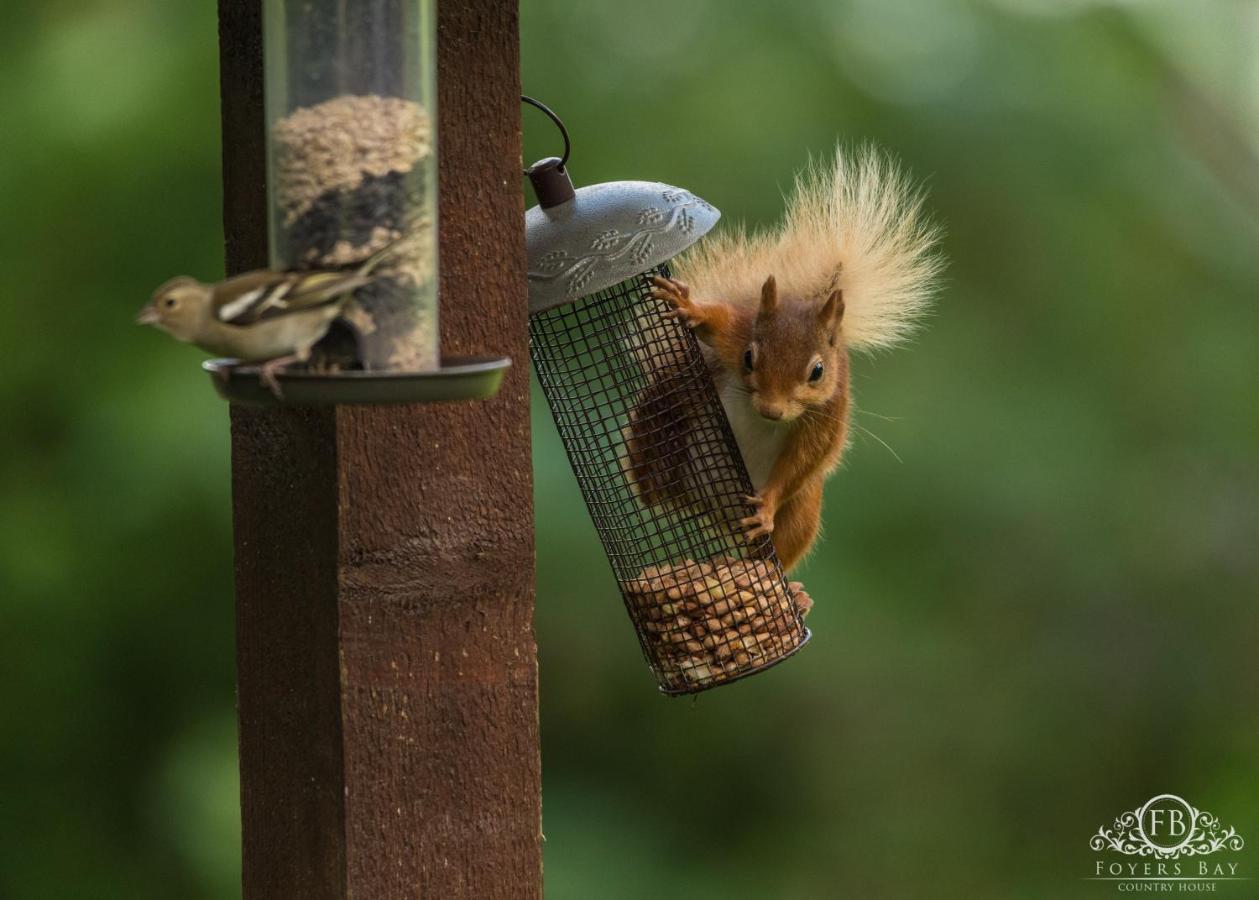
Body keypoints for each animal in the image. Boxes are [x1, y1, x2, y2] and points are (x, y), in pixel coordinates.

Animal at [634, 147, 941, 571]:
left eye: (818, 372)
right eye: (749, 358)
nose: (772, 410)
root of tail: (716, 512)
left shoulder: (827, 412)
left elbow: (802, 461)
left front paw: (765, 506)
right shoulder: (737, 333)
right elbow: (716, 325)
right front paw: (689, 306)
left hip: (802, 513)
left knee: (779, 544)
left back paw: (774, 576)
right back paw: (655, 482)